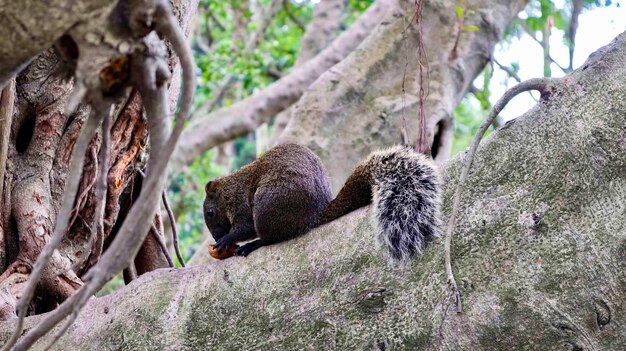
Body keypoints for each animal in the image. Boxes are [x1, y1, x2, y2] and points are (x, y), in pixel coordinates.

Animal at [204, 144, 438, 264]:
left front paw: (227, 239)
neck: (228, 190)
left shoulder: (240, 204)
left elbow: (245, 227)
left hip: (266, 204)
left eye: (210, 212)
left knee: (271, 237)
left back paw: (254, 244)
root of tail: (316, 215)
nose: (216, 237)